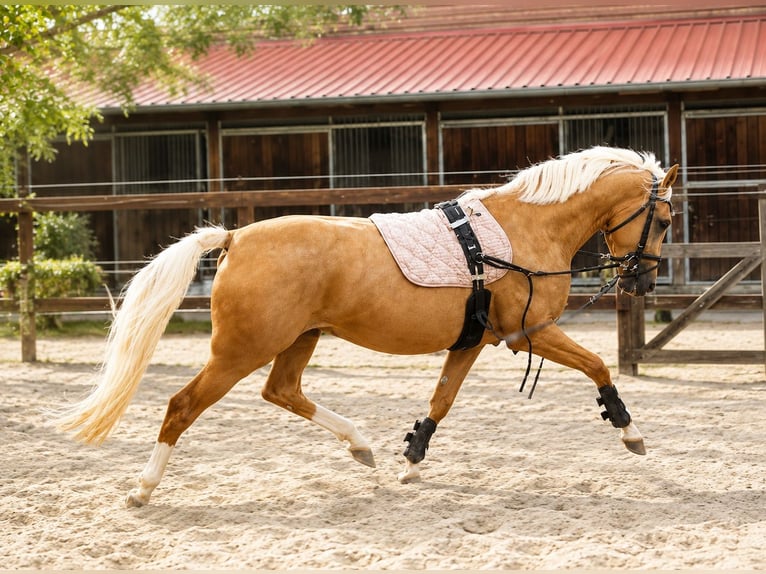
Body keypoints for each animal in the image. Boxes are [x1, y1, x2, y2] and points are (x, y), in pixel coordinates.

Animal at [53, 146, 678, 507]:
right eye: (667, 219)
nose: (643, 283)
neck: (522, 231)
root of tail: (234, 237)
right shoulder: (529, 333)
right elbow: (598, 365)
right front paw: (630, 432)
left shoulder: (475, 341)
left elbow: (442, 399)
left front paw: (411, 461)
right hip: (240, 350)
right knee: (183, 406)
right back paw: (142, 489)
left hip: (297, 340)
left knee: (283, 391)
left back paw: (362, 447)